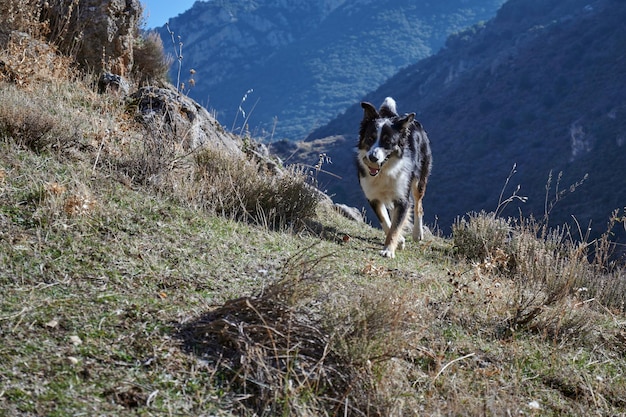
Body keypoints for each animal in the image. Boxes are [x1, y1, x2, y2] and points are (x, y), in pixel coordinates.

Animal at [356, 96, 428, 256]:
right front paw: (399, 241)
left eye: (387, 142)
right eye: (370, 138)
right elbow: (386, 221)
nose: (372, 158)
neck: (384, 171)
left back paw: (417, 233)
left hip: (419, 179)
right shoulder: (373, 196)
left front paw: (388, 250)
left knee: (418, 205)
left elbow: (395, 227)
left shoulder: (402, 198)